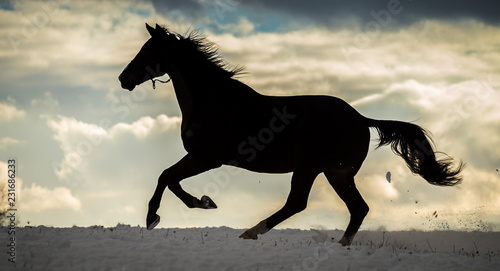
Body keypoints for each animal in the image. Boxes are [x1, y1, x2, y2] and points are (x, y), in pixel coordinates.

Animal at [119, 23, 462, 246]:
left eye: (149, 50)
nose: (124, 78)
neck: (212, 100)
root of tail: (361, 119)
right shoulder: (202, 157)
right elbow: (168, 177)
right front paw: (184, 207)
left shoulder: (208, 157)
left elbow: (168, 177)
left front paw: (184, 208)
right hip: (336, 173)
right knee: (357, 208)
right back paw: (340, 245)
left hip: (311, 168)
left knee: (298, 203)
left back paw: (252, 231)